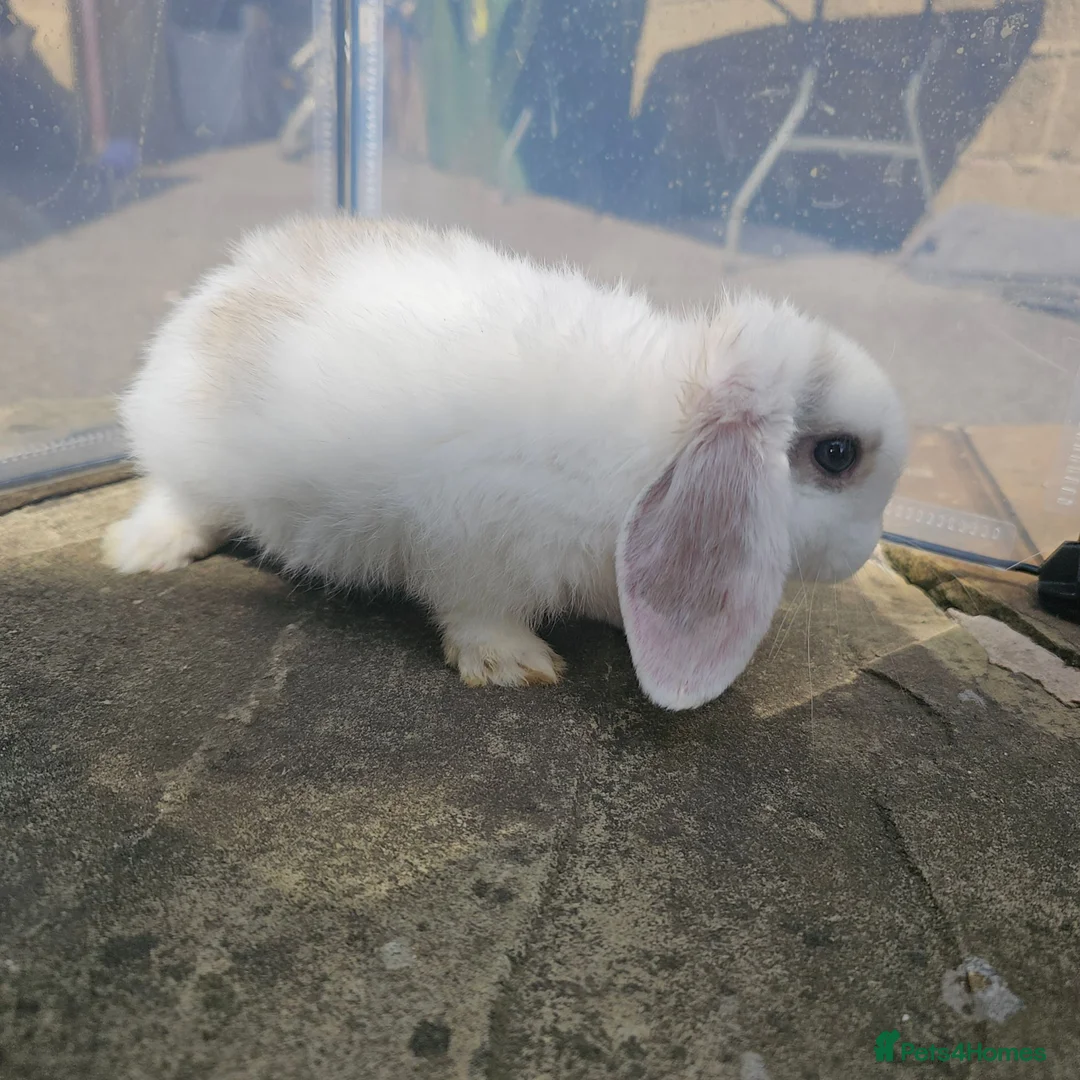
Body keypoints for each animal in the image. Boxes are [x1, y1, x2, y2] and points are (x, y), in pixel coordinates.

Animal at [103, 215, 908, 710]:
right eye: (837, 455)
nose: (867, 551)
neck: (665, 438)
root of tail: (220, 283)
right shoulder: (467, 537)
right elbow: (476, 609)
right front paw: (517, 666)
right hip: (188, 457)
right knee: (176, 500)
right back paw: (139, 553)